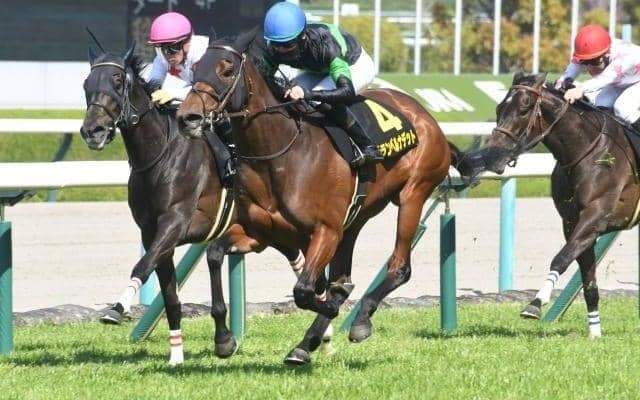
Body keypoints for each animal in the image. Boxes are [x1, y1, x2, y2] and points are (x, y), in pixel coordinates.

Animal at [80, 41, 316, 365]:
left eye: (117, 81)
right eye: (86, 84)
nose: (93, 131)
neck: (160, 156)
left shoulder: (175, 223)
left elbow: (142, 265)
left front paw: (117, 308)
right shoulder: (153, 234)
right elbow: (170, 297)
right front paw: (177, 356)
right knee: (295, 254)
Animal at [176, 29, 462, 364]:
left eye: (227, 70)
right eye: (195, 69)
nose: (188, 117)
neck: (280, 154)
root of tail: (426, 116)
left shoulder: (325, 231)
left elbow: (305, 291)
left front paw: (330, 315)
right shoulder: (259, 234)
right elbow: (214, 255)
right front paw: (224, 339)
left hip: (413, 194)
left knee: (399, 266)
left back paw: (359, 320)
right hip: (354, 219)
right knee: (342, 278)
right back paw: (306, 343)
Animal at [457, 71, 640, 337]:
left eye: (524, 109)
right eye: (499, 107)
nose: (494, 155)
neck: (588, 150)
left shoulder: (595, 216)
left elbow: (561, 259)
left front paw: (535, 302)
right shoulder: (572, 222)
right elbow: (588, 279)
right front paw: (595, 333)